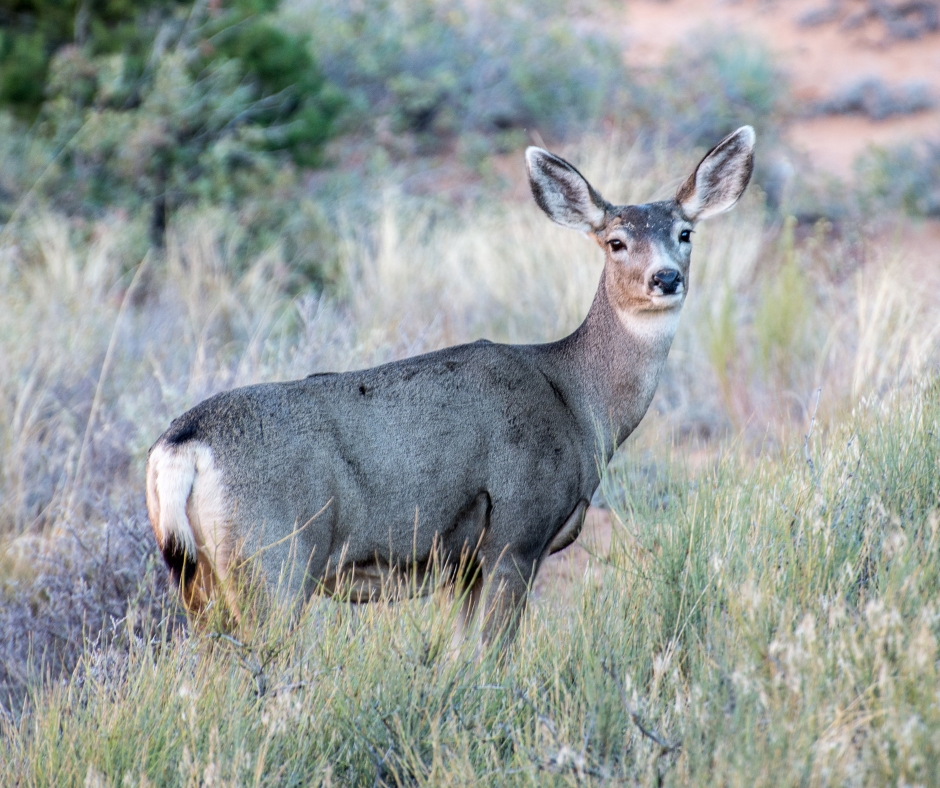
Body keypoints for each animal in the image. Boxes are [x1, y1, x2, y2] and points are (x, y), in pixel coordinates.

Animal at [146, 126, 755, 645]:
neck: (578, 402)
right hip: (274, 561)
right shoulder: (516, 533)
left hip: (202, 578)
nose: (666, 277)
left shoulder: (464, 565)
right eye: (615, 242)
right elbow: (491, 654)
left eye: (685, 233)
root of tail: (181, 446)